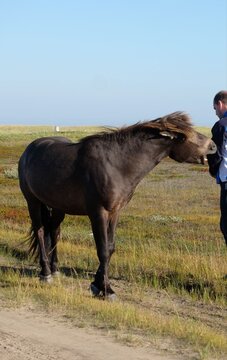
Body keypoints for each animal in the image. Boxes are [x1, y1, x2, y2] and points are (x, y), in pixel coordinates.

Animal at [18, 112, 215, 298]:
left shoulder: (115, 212)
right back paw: (45, 273)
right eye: (185, 136)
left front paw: (97, 283)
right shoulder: (99, 213)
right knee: (41, 231)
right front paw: (106, 289)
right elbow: (103, 250)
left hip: (58, 206)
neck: (116, 164)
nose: (213, 146)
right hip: (33, 202)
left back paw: (54, 269)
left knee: (54, 231)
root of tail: (29, 150)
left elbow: (110, 248)